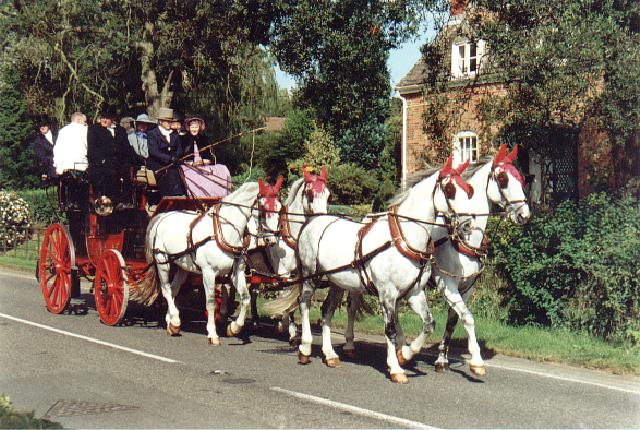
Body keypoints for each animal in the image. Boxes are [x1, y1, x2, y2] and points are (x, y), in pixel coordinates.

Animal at [131, 181, 280, 346]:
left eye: (280, 208)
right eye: (264, 209)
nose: (271, 240)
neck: (224, 232)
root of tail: (161, 217)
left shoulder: (237, 272)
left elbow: (246, 298)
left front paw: (234, 328)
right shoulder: (209, 272)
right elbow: (211, 301)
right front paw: (213, 334)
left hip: (182, 266)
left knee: (173, 289)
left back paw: (171, 322)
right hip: (162, 261)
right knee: (166, 290)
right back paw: (175, 321)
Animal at [298, 158, 472, 382]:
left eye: (468, 189)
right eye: (450, 189)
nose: (467, 225)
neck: (403, 239)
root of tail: (314, 220)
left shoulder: (414, 293)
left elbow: (428, 324)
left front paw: (405, 354)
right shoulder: (387, 294)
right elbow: (389, 330)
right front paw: (396, 368)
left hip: (338, 282)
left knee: (327, 310)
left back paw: (330, 355)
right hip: (310, 276)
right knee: (304, 303)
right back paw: (304, 349)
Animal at [430, 144, 528, 372]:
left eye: (521, 178)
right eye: (502, 178)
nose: (524, 215)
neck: (461, 238)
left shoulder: (465, 288)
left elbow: (453, 321)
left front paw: (442, 358)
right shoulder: (447, 284)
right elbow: (468, 318)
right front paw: (475, 359)